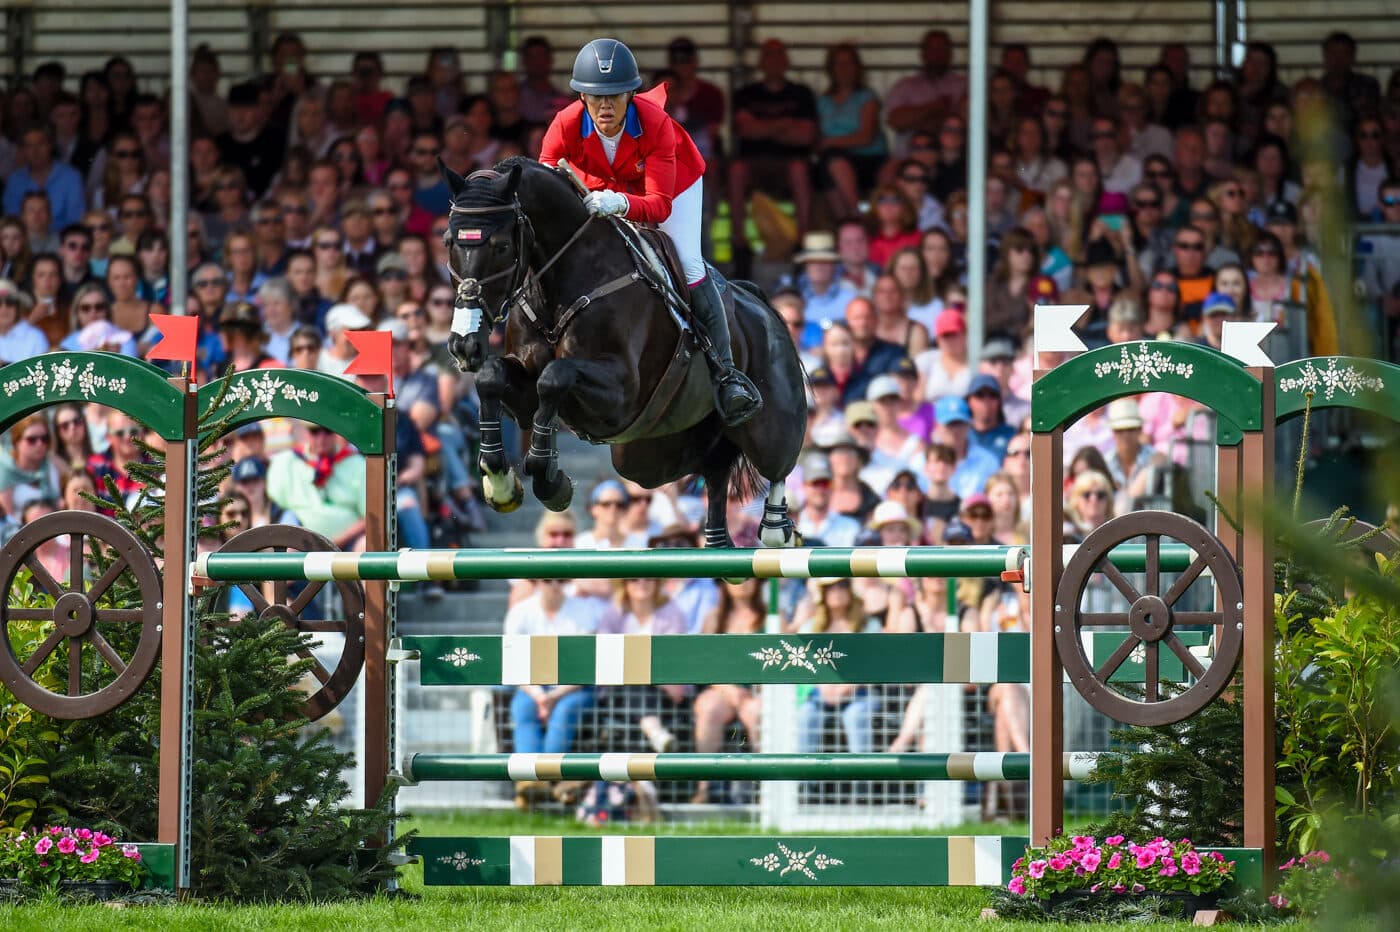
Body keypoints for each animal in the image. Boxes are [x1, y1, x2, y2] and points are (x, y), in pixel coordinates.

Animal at [441, 157, 807, 548]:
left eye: (500, 246)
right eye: (448, 241)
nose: (464, 344)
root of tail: (760, 302)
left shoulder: (621, 395)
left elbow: (554, 377)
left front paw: (550, 481)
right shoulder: (525, 396)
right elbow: (492, 376)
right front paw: (501, 483)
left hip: (767, 423)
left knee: (776, 463)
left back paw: (777, 529)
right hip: (651, 455)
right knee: (715, 468)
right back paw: (719, 541)